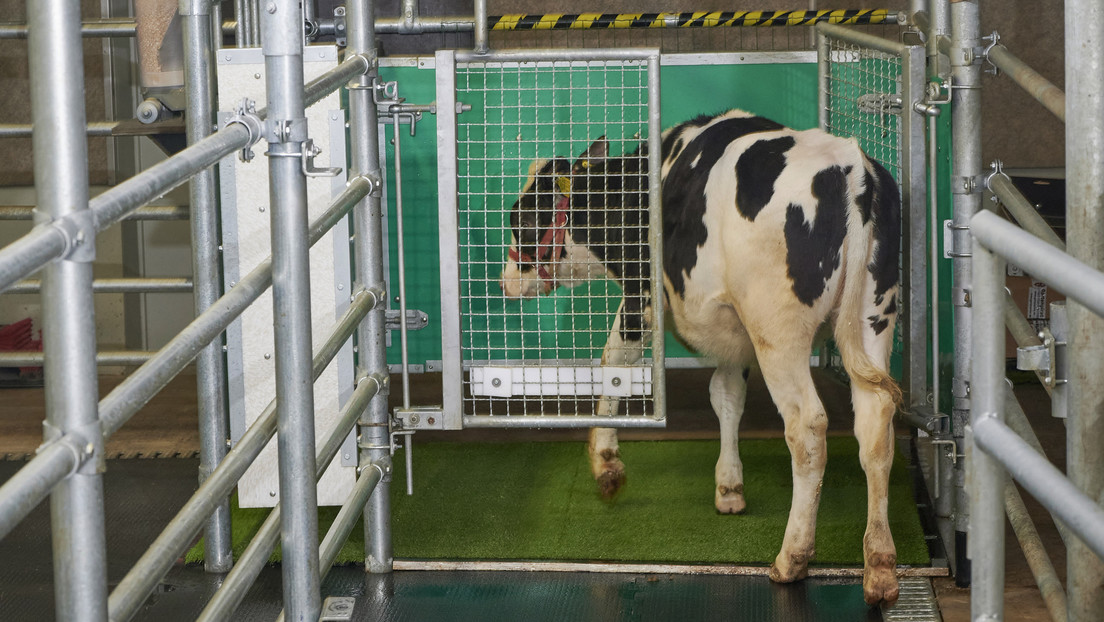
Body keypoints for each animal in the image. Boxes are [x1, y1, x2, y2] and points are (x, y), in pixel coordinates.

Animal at [499, 109, 902, 606]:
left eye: (521, 217)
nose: (505, 281)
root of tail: (850, 166)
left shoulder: (642, 298)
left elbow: (614, 362)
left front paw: (606, 463)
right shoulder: (732, 331)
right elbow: (726, 395)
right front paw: (729, 487)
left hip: (778, 330)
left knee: (807, 429)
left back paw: (792, 557)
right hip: (873, 316)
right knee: (876, 424)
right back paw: (880, 566)